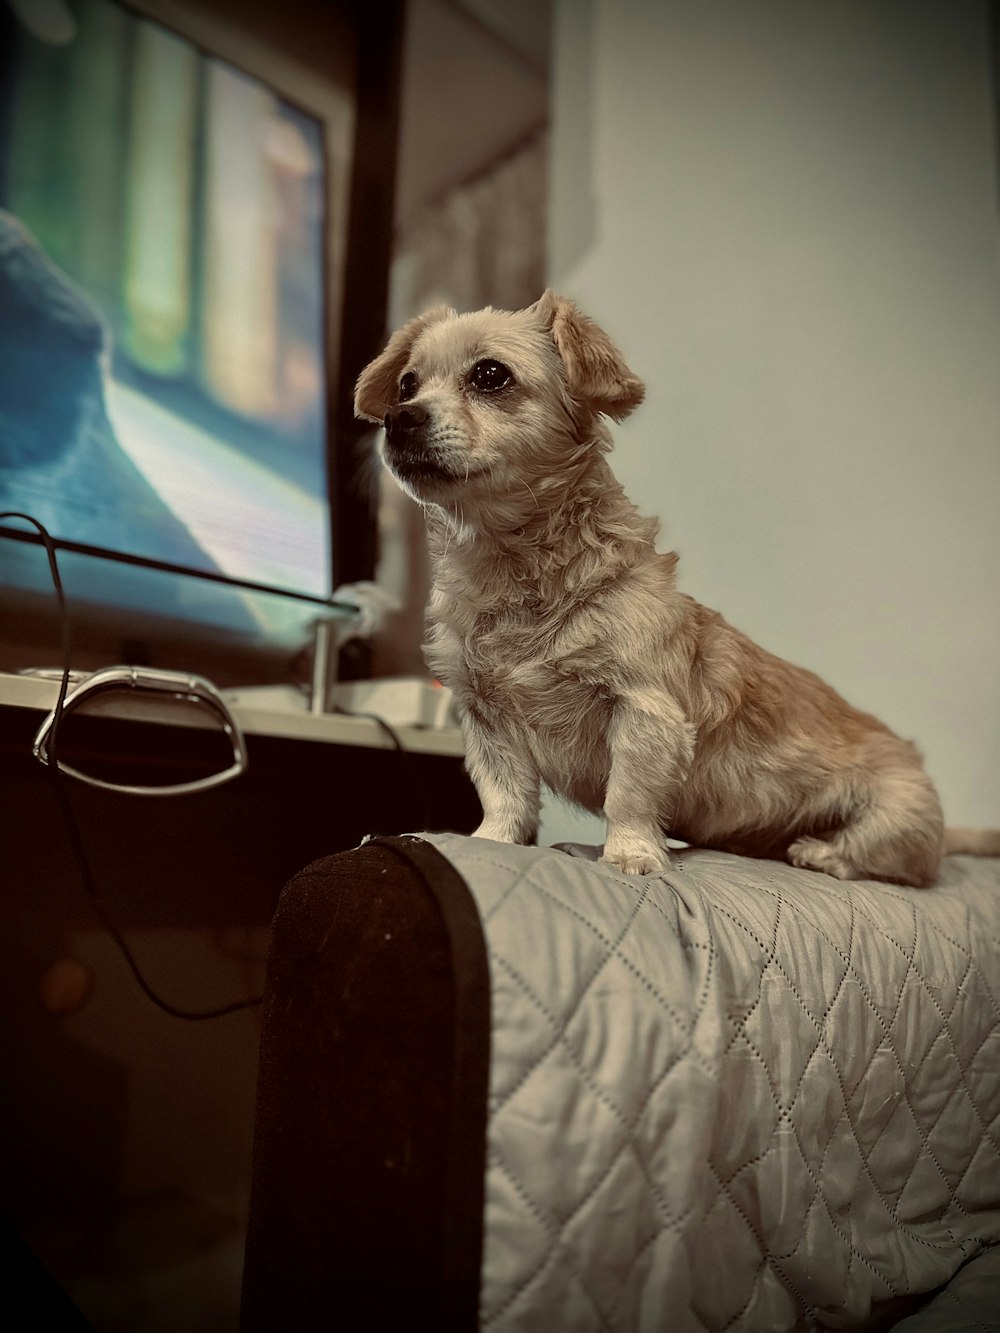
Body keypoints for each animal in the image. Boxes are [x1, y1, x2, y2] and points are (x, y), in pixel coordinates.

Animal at [357, 291, 997, 885]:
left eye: (491, 375)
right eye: (407, 383)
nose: (399, 417)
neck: (514, 567)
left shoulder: (644, 711)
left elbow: (628, 796)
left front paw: (630, 855)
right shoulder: (487, 720)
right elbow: (505, 794)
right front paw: (489, 843)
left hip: (894, 823)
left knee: (876, 859)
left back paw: (819, 852)